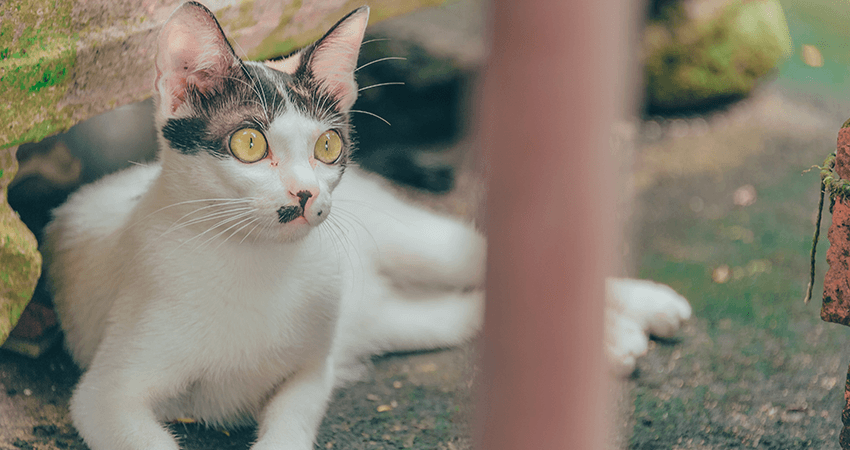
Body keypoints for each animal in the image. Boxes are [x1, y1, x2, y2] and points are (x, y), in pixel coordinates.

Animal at [41, 1, 688, 448]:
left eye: (327, 146)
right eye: (249, 143)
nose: (305, 193)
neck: (255, 265)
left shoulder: (310, 371)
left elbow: (290, 426)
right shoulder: (107, 396)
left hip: (419, 245)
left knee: (486, 261)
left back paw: (647, 308)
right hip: (390, 319)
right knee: (467, 309)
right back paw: (614, 338)